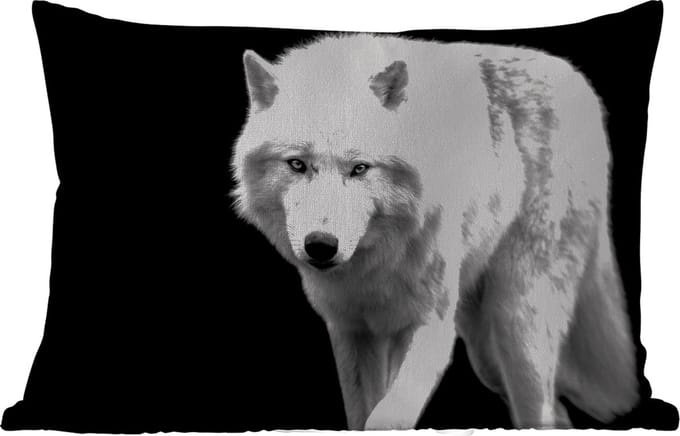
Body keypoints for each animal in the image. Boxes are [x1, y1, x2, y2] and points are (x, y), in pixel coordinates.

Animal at [230, 34, 638, 429]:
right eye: (297, 164)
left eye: (360, 169)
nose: (321, 246)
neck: (374, 266)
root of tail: (580, 82)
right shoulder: (351, 330)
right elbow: (362, 414)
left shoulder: (429, 327)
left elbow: (386, 417)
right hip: (487, 354)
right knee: (557, 412)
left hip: (517, 326)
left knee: (540, 406)